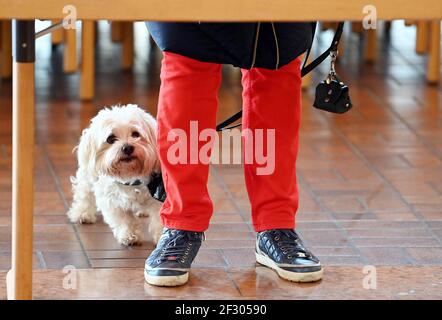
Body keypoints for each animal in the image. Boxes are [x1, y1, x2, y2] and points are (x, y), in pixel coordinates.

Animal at [65, 104, 162, 245]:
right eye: (110, 139)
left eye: (136, 134)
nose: (127, 147)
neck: (129, 176)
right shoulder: (111, 200)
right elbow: (123, 219)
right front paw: (129, 235)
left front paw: (162, 237)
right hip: (87, 175)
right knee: (84, 194)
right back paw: (83, 213)